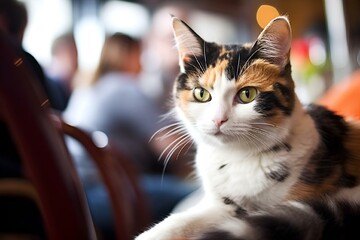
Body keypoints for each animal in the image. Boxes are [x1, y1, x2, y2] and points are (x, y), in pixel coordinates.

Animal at [136, 15, 360, 239]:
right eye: (201, 94)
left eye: (247, 94)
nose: (218, 119)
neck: (237, 157)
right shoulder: (222, 205)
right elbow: (180, 220)